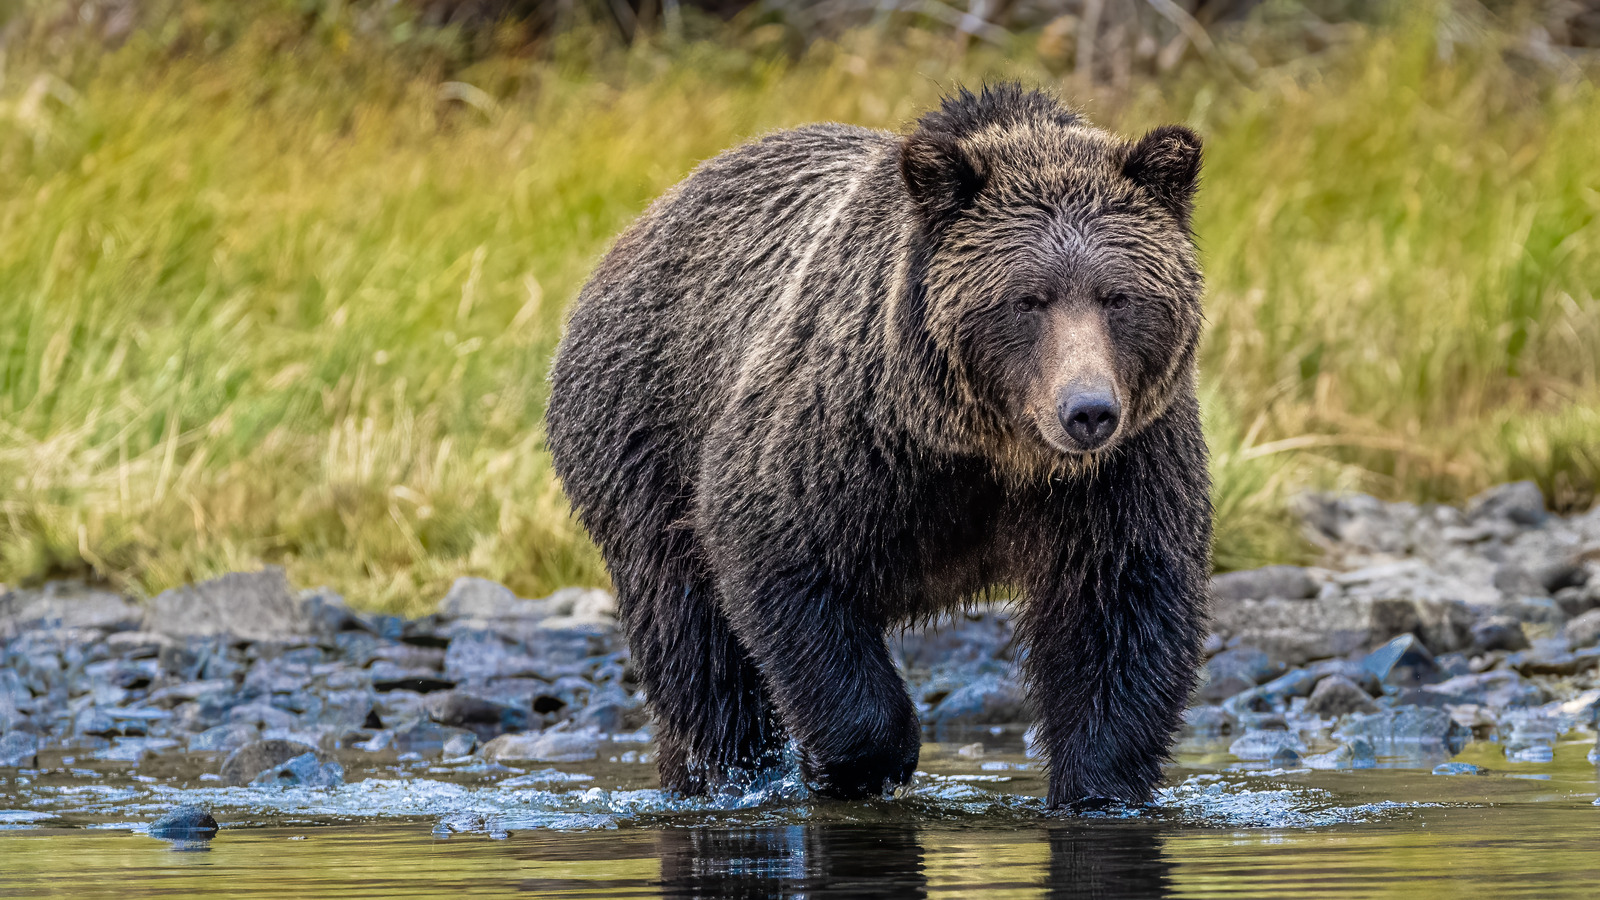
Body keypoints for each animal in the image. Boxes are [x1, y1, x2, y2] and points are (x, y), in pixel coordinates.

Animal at [550, 84, 1209, 800]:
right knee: (694, 641)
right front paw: (846, 762)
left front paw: (1096, 783)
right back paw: (727, 770)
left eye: (1118, 296)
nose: (1088, 412)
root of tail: (637, 230)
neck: (991, 451)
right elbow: (780, 554)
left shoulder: (1123, 470)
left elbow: (1120, 614)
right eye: (1028, 300)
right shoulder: (848, 437)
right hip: (644, 434)